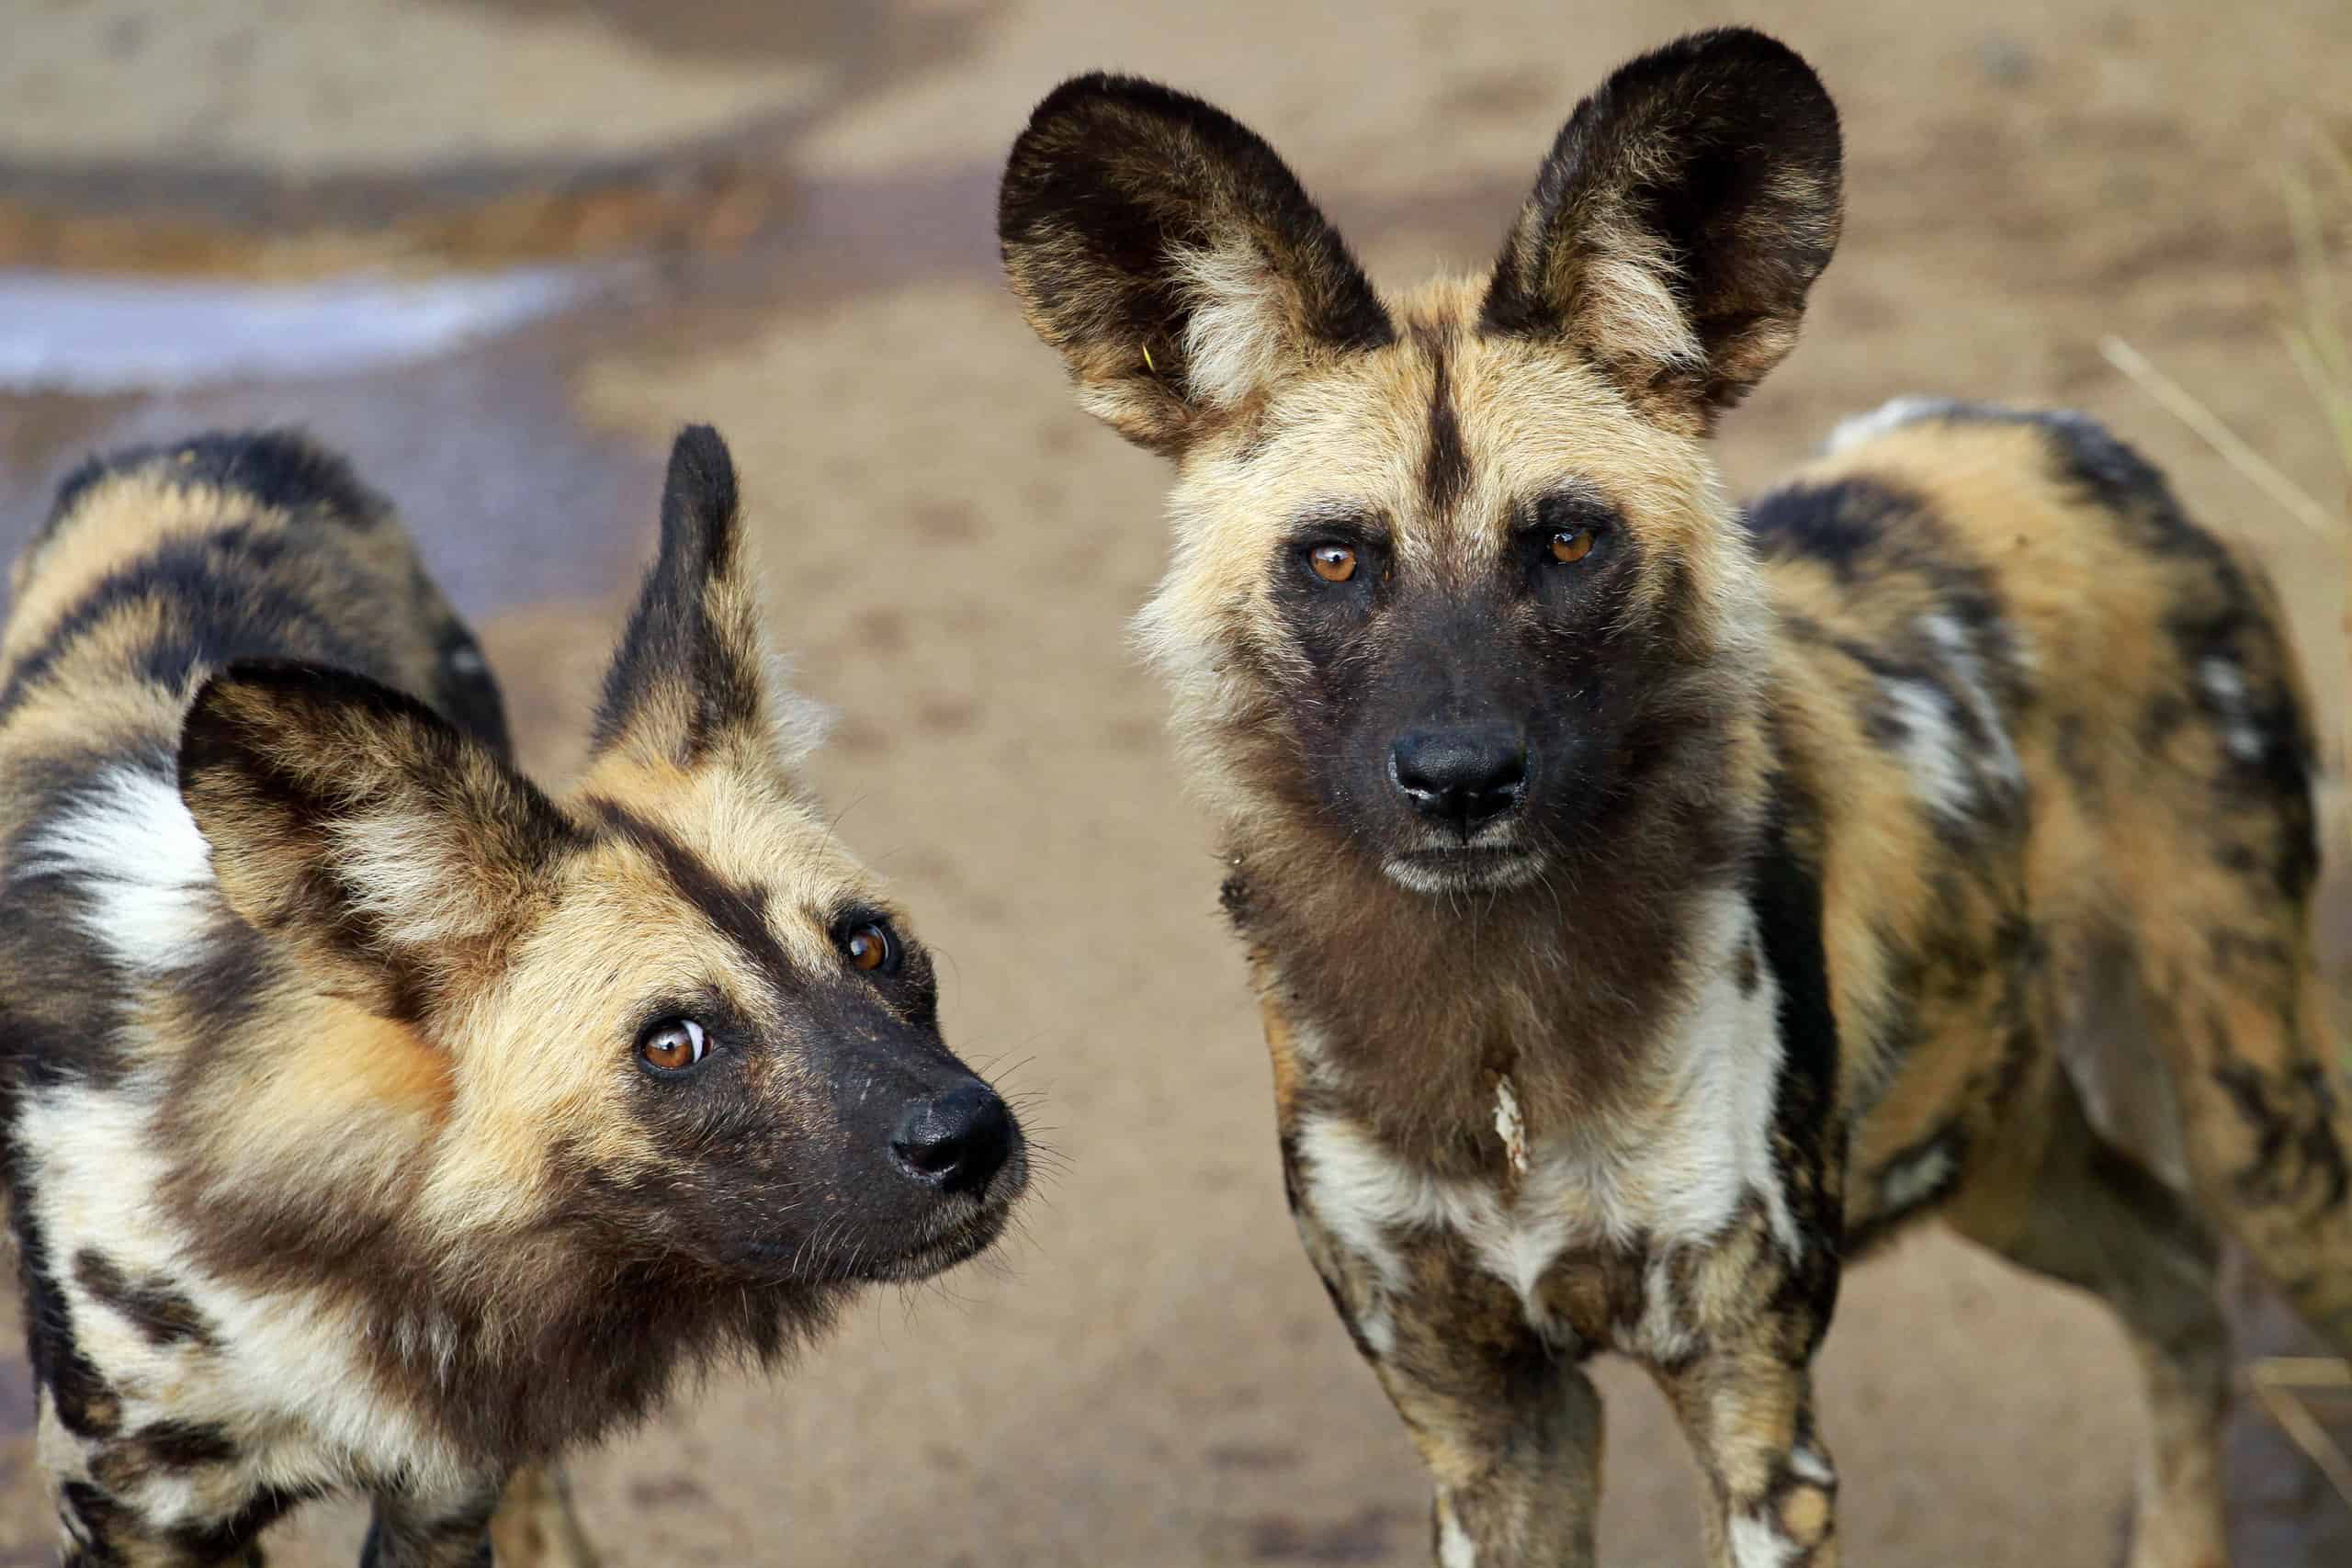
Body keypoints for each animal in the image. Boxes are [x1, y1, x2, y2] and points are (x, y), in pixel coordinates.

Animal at [2, 423, 1030, 1561]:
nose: (968, 1136)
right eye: (673, 1043)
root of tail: (219, 439)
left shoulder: (445, 1492)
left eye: (868, 946)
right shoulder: (139, 1520)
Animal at [997, 24, 2352, 1568]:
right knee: (2174, 1272)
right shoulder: (1487, 1422)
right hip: (2000, 1148)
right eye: (1336, 559)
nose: (1461, 779)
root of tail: (2074, 438)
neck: (1503, 1036)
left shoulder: (1755, 1415)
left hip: (2261, 1133)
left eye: (1568, 542)